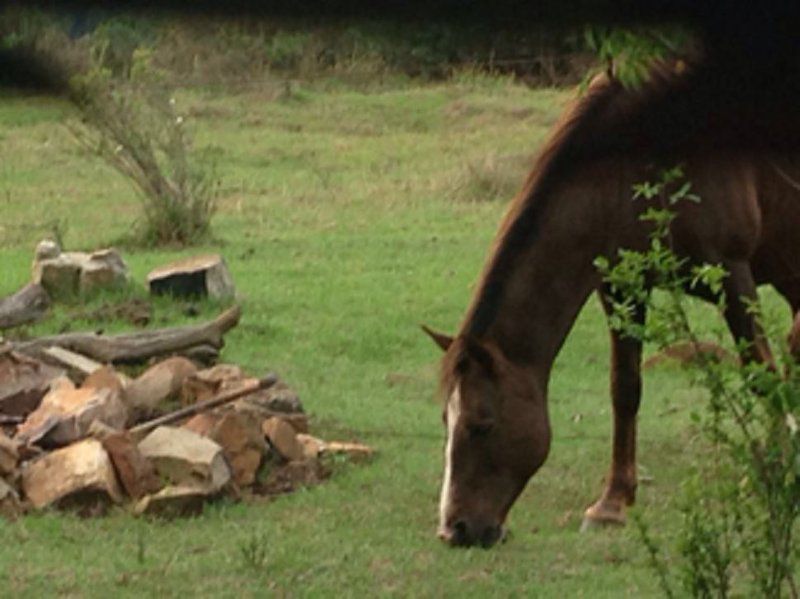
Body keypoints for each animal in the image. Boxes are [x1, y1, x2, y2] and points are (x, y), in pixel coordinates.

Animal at [428, 64, 800, 548]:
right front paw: (612, 503)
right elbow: (625, 389)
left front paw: (778, 473)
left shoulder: (729, 273)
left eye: (482, 424)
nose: (454, 529)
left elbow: (762, 375)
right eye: (445, 420)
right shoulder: (622, 286)